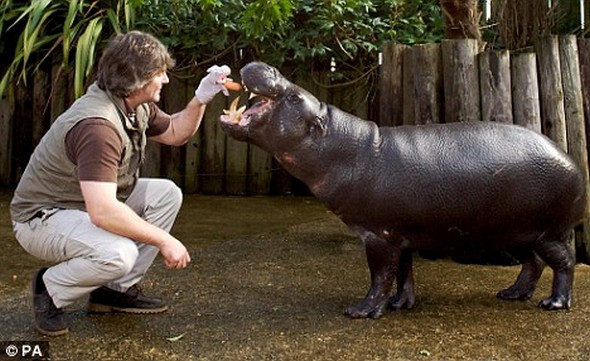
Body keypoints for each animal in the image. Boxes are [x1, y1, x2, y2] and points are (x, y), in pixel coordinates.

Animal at [221, 61, 588, 318]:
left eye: (296, 96)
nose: (268, 67)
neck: (340, 146)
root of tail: (571, 160)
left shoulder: (377, 235)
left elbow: (380, 276)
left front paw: (361, 312)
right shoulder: (401, 233)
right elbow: (402, 273)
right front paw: (401, 304)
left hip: (546, 232)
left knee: (564, 262)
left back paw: (553, 304)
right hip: (515, 232)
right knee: (533, 264)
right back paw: (512, 294)